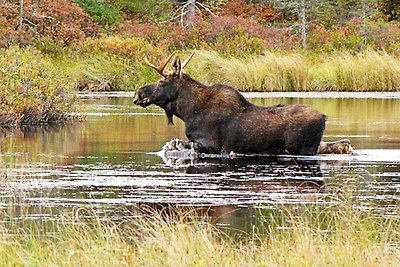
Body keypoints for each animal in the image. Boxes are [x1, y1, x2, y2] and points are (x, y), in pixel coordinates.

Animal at [133, 52, 326, 156]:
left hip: (304, 148)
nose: (138, 94)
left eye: (162, 82)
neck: (188, 112)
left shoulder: (211, 145)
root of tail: (324, 117)